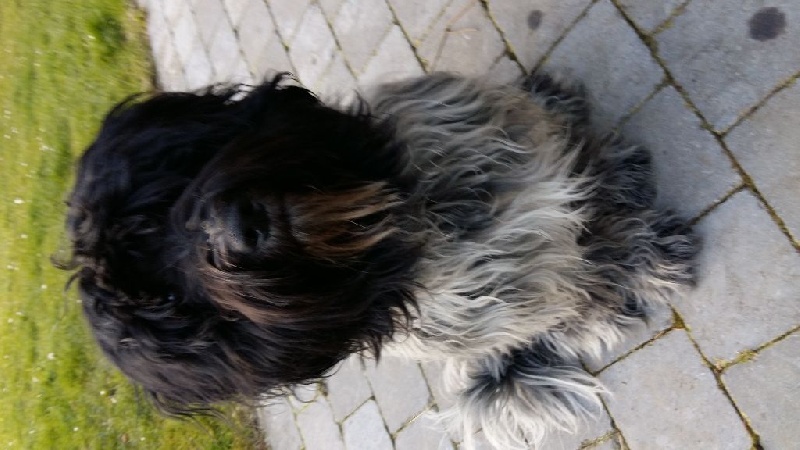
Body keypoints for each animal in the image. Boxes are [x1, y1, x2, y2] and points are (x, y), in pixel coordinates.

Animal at [61, 72, 697, 449]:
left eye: (160, 198)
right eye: (169, 301)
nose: (244, 227)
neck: (413, 224)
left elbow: (584, 172)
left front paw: (624, 205)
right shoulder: (520, 296)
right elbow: (587, 271)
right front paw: (639, 257)